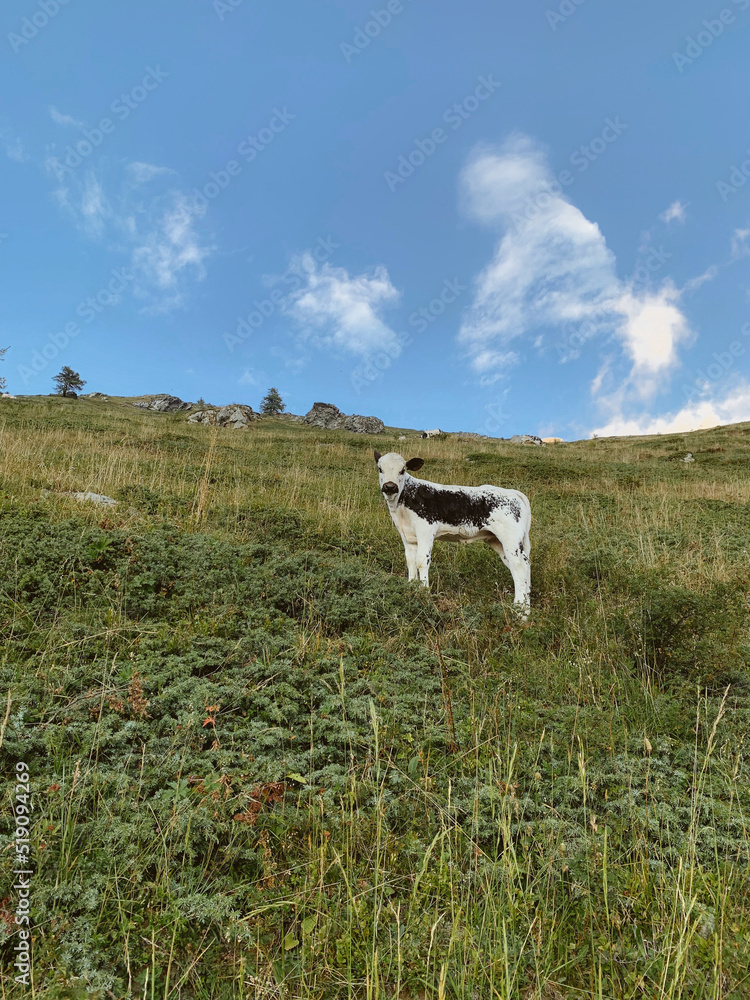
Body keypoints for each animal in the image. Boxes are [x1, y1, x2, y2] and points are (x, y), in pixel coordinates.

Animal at [374, 451, 531, 613]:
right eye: (380, 468)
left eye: (403, 470)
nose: (390, 486)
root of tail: (514, 493)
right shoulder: (407, 536)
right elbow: (410, 561)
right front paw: (411, 587)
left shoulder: (425, 529)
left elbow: (422, 561)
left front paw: (424, 593)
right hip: (496, 540)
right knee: (519, 564)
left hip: (511, 538)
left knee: (519, 564)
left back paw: (520, 609)